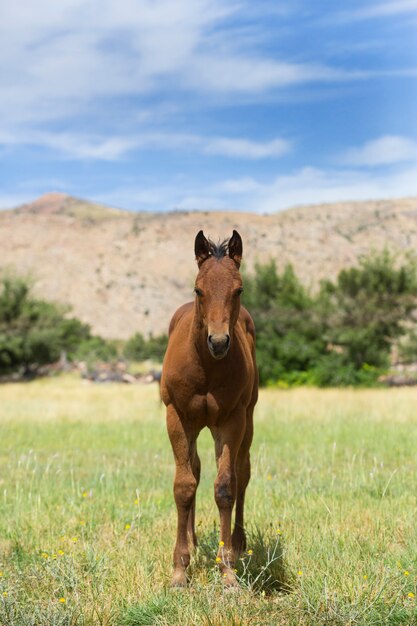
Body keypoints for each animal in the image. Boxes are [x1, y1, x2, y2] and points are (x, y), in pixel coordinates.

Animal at [159, 229, 256, 584]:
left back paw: (238, 544)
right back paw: (193, 540)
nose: (218, 342)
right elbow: (184, 485)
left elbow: (226, 486)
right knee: (197, 469)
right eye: (198, 289)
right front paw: (179, 570)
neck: (206, 368)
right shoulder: (176, 417)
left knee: (243, 471)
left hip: (247, 419)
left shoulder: (231, 420)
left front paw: (227, 571)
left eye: (238, 289)